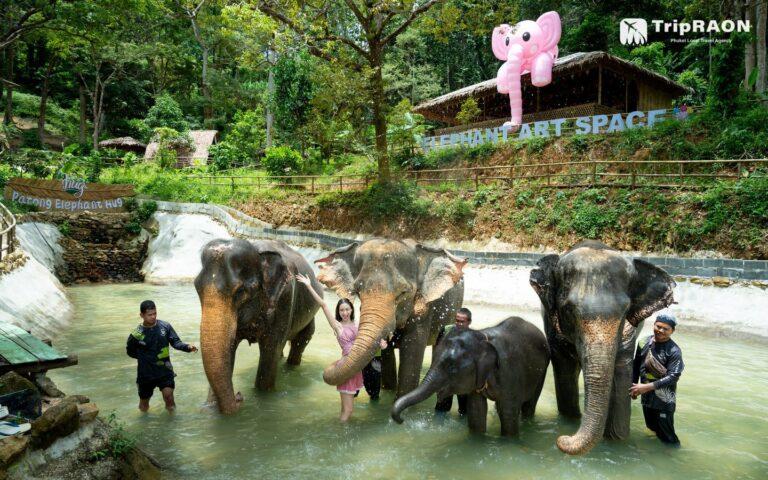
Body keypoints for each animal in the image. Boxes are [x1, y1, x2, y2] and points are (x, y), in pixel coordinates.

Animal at [194, 238, 321, 414]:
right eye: (196, 287)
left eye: (240, 291)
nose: (238, 395)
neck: (257, 251)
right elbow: (229, 350)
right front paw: (211, 407)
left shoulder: (285, 297)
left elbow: (270, 350)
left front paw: (263, 398)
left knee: (300, 341)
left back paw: (290, 367)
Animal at [314, 239, 466, 398]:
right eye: (357, 291)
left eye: (403, 292)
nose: (331, 365)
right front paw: (388, 391)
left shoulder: (424, 311)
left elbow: (411, 353)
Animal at [391, 317, 550, 437]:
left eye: (452, 368)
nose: (402, 420)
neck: (482, 336)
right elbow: (476, 411)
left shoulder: (509, 371)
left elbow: (508, 413)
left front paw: (509, 442)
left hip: (543, 369)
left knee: (529, 404)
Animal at [529, 240, 675, 455]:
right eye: (569, 310)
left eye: (625, 310)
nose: (562, 438)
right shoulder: (552, 325)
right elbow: (565, 370)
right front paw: (570, 421)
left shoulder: (627, 333)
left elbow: (621, 373)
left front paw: (617, 441)